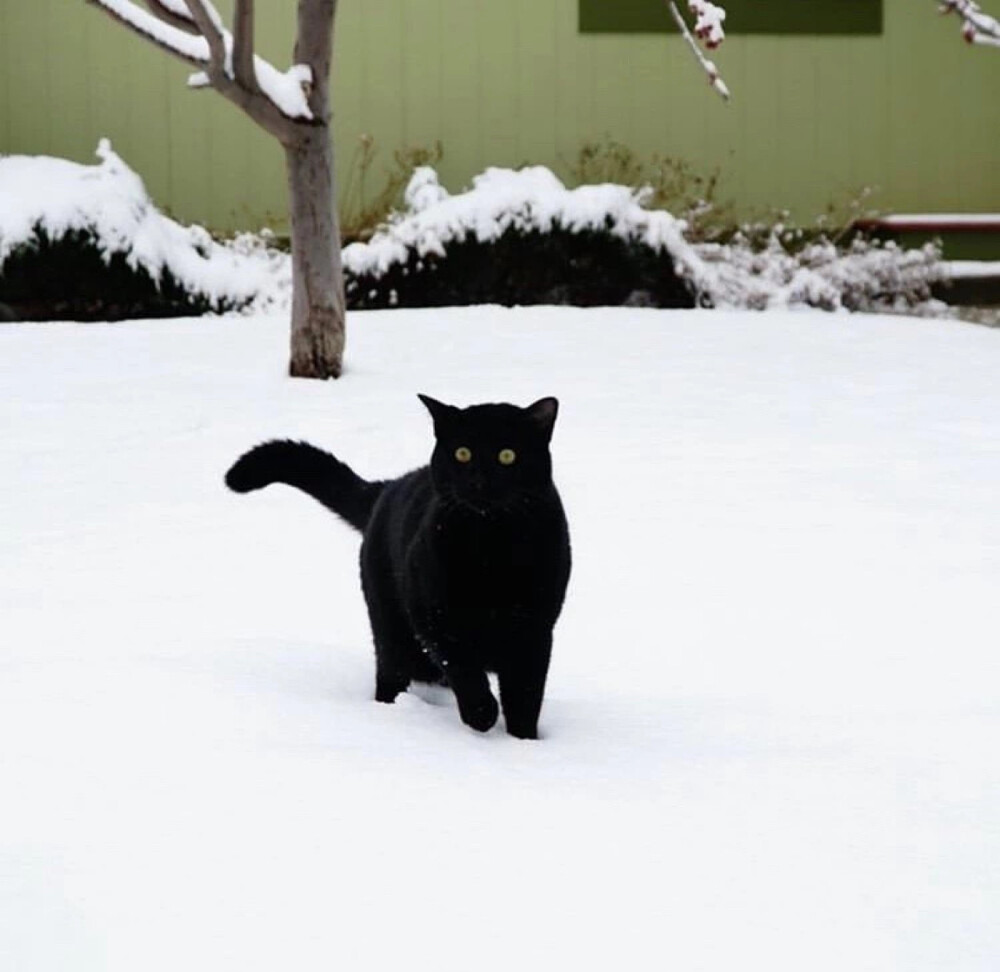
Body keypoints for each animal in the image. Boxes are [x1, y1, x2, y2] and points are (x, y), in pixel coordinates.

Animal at [227, 394, 572, 736]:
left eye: (507, 455)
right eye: (462, 453)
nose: (478, 481)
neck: (491, 547)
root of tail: (388, 486)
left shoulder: (535, 630)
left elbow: (526, 695)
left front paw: (522, 741)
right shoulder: (432, 615)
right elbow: (463, 666)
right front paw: (482, 714)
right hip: (392, 632)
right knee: (392, 674)